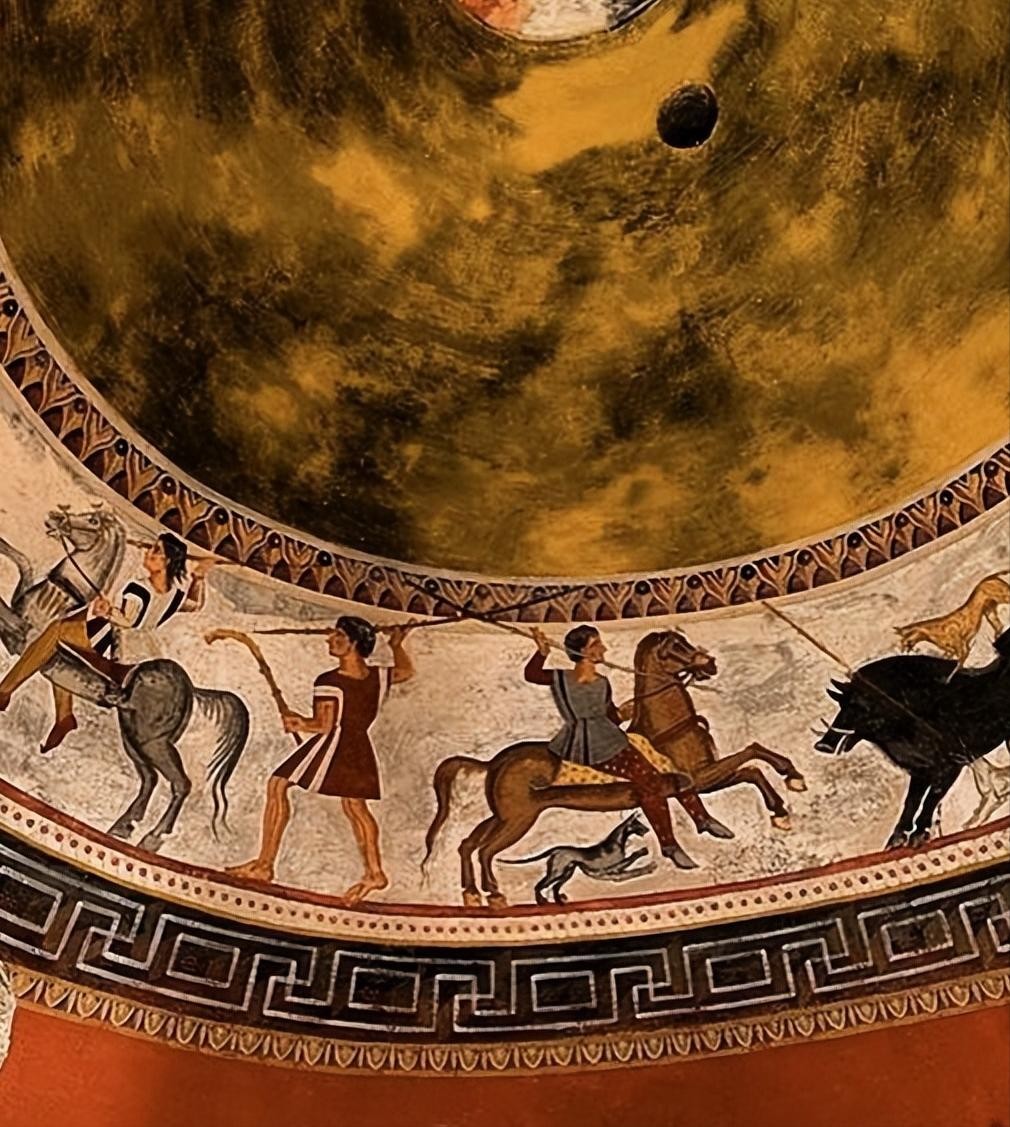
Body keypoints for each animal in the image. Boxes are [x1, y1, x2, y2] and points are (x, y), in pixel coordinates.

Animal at [0, 506, 250, 852]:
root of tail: (193, 689)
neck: (64, 596)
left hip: (151, 741)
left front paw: (3, 698)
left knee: (180, 783)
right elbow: (22, 563)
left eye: (92, 521)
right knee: (150, 779)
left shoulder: (27, 637)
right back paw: (123, 825)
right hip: (132, 734)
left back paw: (153, 838)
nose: (54, 517)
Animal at [502, 813, 656, 904]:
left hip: (567, 872)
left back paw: (560, 901)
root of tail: (557, 849)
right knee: (539, 886)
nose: (648, 829)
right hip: (557, 872)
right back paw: (542, 902)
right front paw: (643, 852)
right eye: (638, 823)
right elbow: (633, 858)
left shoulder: (614, 872)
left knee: (555, 887)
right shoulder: (614, 868)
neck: (617, 841)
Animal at [815, 629, 1010, 849]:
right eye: (841, 704)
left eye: (859, 705)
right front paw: (898, 838)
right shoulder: (920, 771)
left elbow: (931, 798)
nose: (823, 744)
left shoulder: (952, 765)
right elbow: (912, 801)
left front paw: (919, 834)